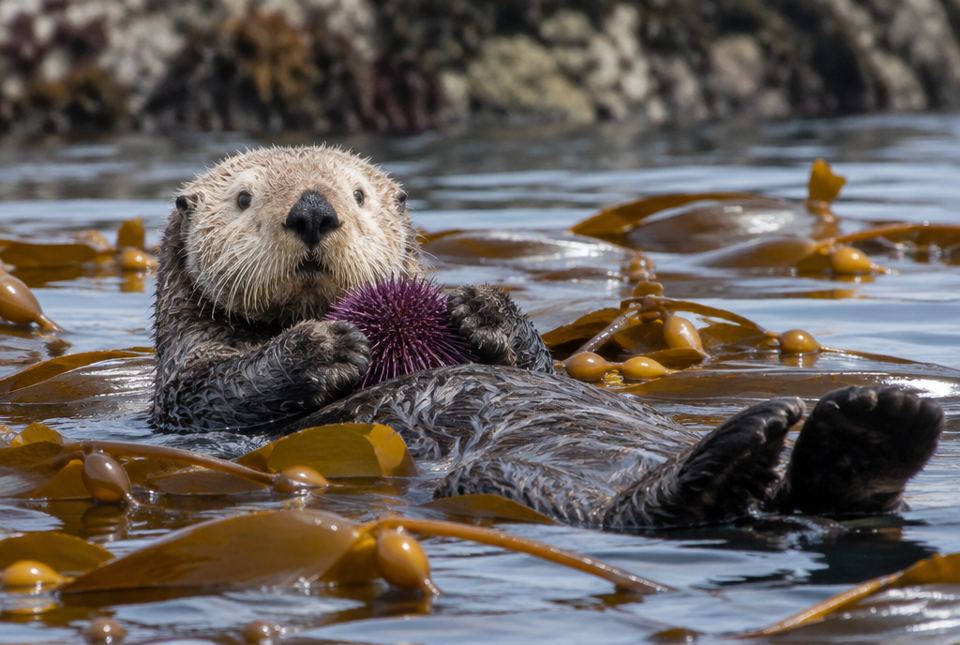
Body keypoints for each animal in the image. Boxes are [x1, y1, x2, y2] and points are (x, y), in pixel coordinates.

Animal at [152, 145, 944, 530]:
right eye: (244, 197)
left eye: (359, 194)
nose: (314, 210)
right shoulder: (187, 395)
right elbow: (217, 389)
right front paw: (325, 347)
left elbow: (546, 367)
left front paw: (484, 311)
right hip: (516, 479)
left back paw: (876, 429)